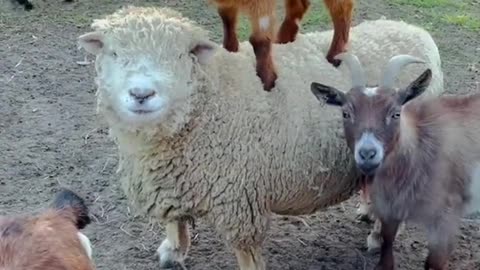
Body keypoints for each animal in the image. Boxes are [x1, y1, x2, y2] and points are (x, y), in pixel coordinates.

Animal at [212, 0, 354, 91]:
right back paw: (283, 40)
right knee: (299, 5)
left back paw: (335, 55)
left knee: (343, 7)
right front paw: (230, 50)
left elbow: (259, 39)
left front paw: (268, 81)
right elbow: (226, 17)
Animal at [310, 52, 480, 270]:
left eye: (396, 113)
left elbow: (434, 262)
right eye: (345, 113)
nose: (367, 153)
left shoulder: (447, 216)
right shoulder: (389, 209)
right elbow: (386, 245)